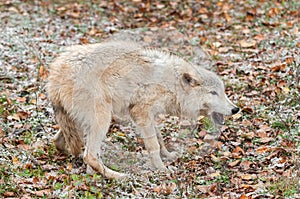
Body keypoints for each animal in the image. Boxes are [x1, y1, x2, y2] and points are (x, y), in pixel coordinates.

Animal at [47, 41, 239, 178]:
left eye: (223, 92)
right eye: (213, 93)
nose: (235, 109)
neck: (172, 84)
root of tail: (56, 70)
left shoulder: (148, 115)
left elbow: (159, 139)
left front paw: (167, 156)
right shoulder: (140, 112)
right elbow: (153, 145)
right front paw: (162, 169)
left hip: (80, 123)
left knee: (62, 143)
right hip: (102, 120)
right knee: (90, 155)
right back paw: (119, 176)